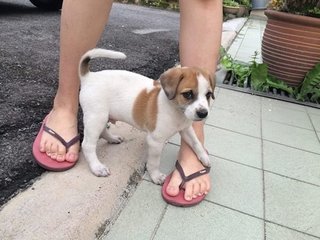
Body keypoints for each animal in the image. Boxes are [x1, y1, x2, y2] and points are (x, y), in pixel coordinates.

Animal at [79, 48, 216, 184]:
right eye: (188, 94)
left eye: (208, 94)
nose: (203, 113)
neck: (176, 111)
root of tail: (89, 77)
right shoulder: (155, 141)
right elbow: (154, 162)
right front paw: (155, 176)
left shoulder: (186, 129)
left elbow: (196, 142)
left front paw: (203, 156)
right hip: (96, 118)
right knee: (87, 145)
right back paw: (97, 167)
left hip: (101, 117)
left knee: (102, 132)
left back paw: (112, 139)